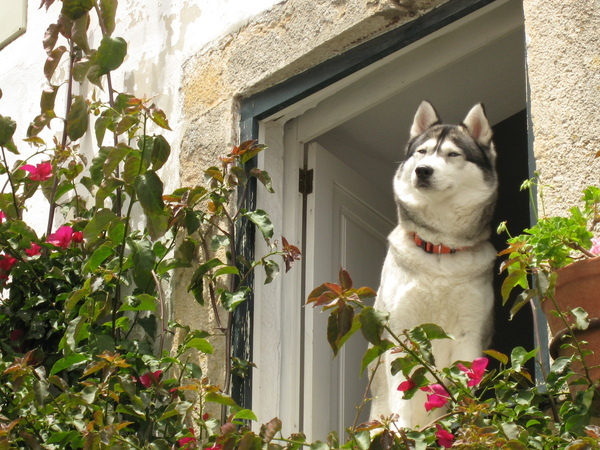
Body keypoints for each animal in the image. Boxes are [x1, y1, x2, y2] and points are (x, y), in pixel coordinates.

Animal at [368, 101, 500, 428]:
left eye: (453, 154)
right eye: (422, 152)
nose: (422, 170)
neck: (440, 249)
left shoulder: (470, 334)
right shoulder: (402, 333)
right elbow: (403, 398)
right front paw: (405, 434)